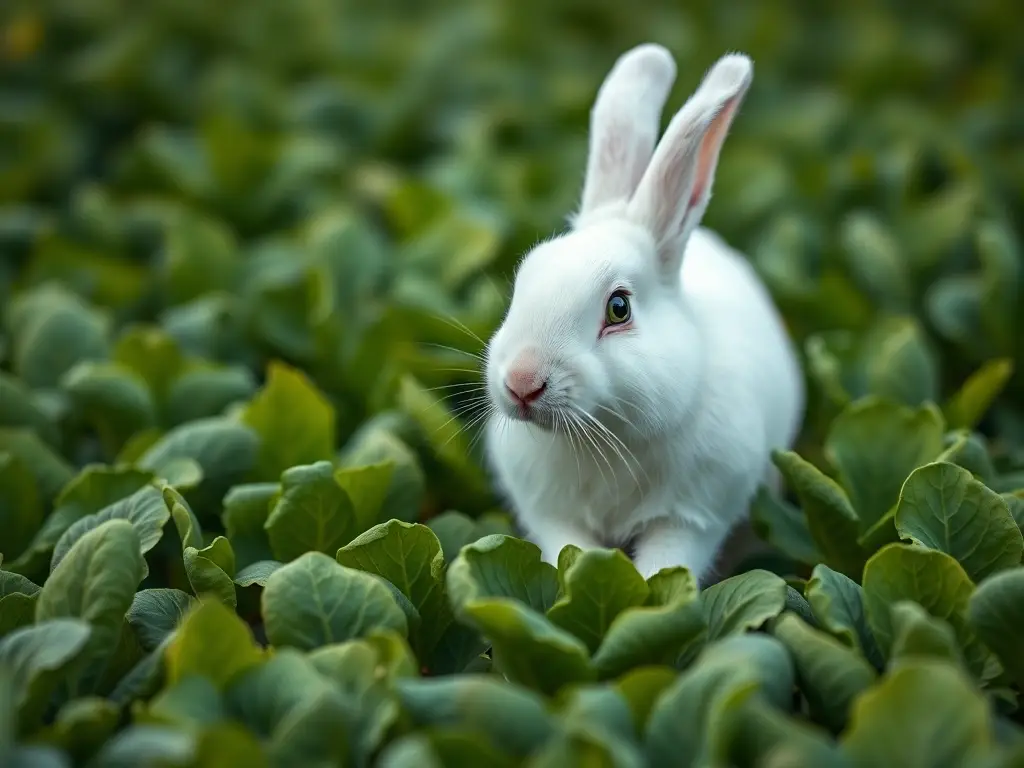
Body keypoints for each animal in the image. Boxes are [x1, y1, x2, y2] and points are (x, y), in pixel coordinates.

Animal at [480, 43, 805, 585]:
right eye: (523, 280)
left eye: (619, 308)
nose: (523, 382)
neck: (603, 435)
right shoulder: (551, 515)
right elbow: (569, 551)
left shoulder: (691, 518)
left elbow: (665, 570)